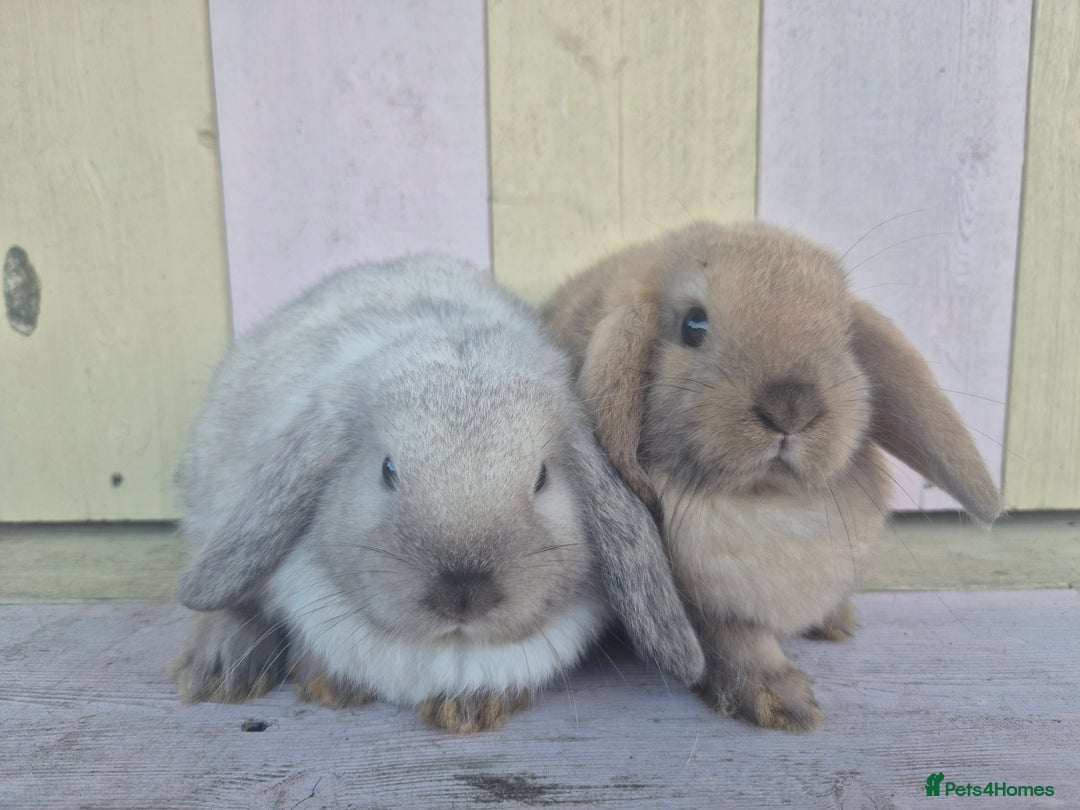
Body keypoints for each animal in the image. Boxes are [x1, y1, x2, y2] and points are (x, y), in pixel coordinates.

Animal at [170, 254, 704, 734]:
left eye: (541, 478)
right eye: (387, 470)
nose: (462, 596)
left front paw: (470, 709)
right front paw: (331, 685)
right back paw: (221, 670)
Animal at [542, 222, 1002, 732]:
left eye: (844, 335)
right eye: (693, 326)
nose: (791, 407)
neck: (768, 500)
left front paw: (836, 621)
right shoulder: (711, 612)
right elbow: (740, 644)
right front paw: (785, 704)